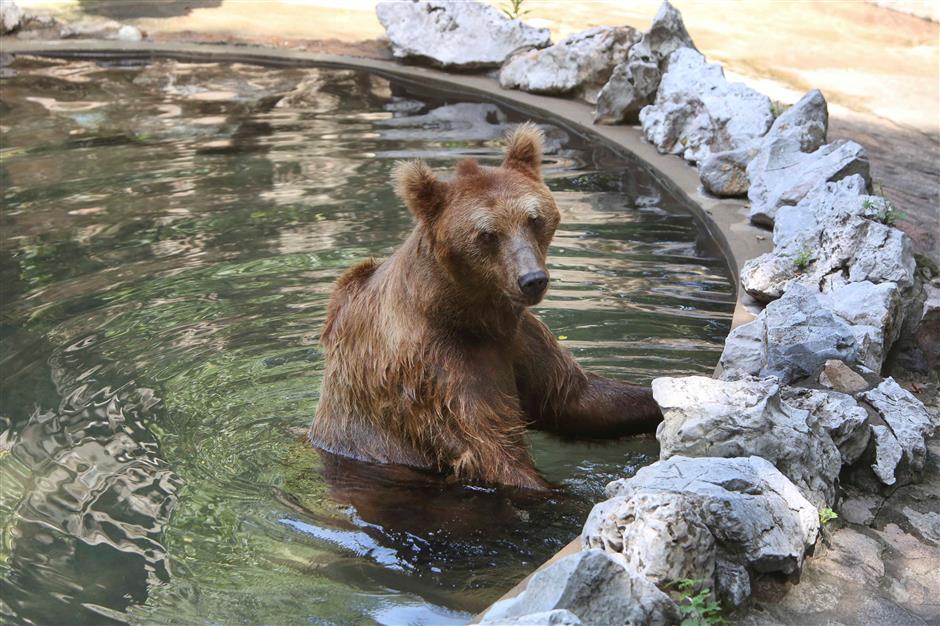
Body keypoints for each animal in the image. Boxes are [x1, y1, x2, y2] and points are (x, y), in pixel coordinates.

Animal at [308, 122, 660, 490]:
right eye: (487, 233)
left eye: (533, 218)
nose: (532, 279)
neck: (468, 312)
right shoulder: (436, 371)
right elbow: (492, 452)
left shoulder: (519, 338)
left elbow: (575, 399)